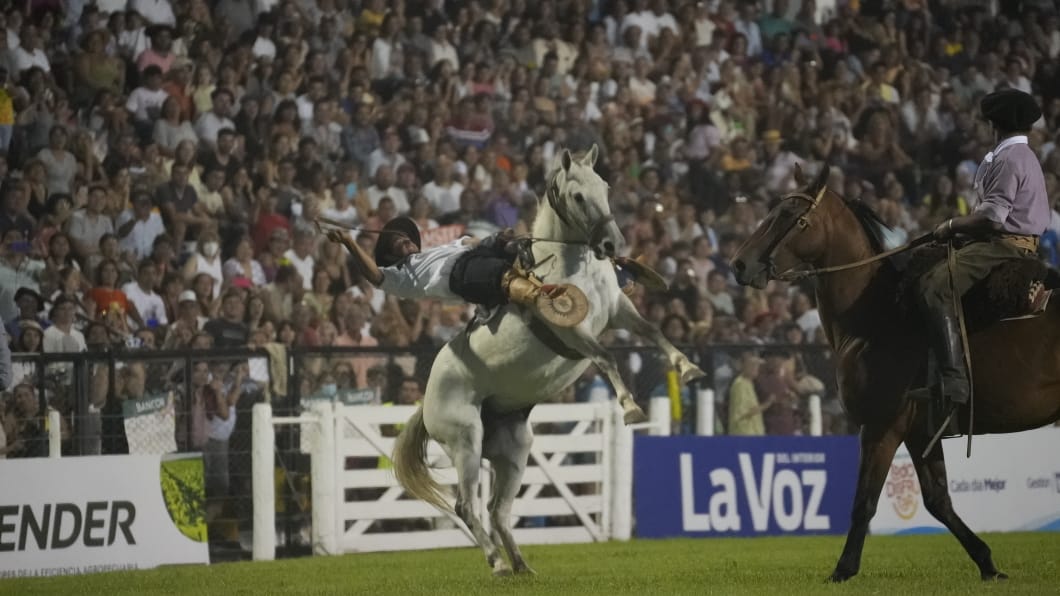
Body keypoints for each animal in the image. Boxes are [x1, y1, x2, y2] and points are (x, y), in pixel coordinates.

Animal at [390, 143, 703, 572]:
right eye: (577, 196)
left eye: (606, 186)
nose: (611, 244)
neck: (566, 267)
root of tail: (426, 404)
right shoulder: (573, 331)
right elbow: (606, 358)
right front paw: (630, 407)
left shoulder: (618, 309)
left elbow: (654, 332)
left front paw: (688, 367)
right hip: (465, 441)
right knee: (466, 506)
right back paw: (498, 563)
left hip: (513, 451)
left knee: (497, 509)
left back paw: (522, 565)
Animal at [729, 164, 1060, 581]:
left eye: (790, 214)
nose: (739, 264)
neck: (875, 315)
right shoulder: (920, 432)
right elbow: (938, 501)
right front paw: (987, 562)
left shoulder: (881, 427)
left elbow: (864, 502)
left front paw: (843, 570)